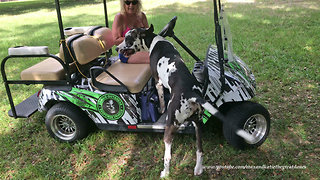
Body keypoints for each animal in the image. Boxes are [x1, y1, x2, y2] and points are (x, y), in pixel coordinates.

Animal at [116, 25, 254, 177]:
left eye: (127, 38)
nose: (116, 48)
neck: (155, 41)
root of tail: (191, 94)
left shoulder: (158, 82)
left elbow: (161, 98)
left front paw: (161, 109)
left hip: (170, 128)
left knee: (168, 155)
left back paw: (165, 172)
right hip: (198, 125)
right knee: (200, 150)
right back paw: (198, 169)